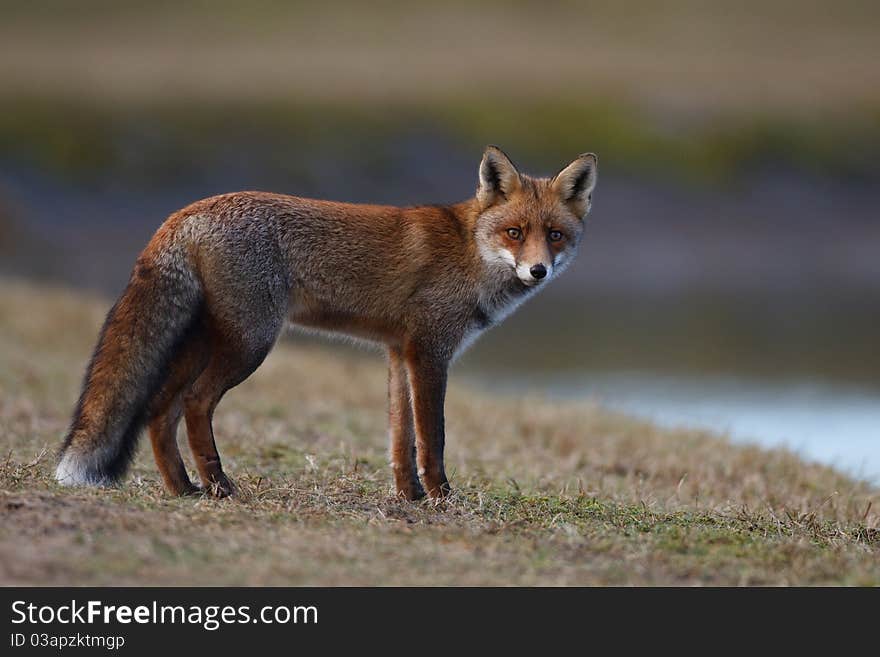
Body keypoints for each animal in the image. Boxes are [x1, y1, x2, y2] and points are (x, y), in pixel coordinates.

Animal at [56, 147, 600, 498]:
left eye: (554, 235)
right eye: (515, 233)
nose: (538, 270)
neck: (470, 252)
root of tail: (186, 211)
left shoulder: (399, 352)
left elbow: (400, 437)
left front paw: (410, 498)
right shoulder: (429, 351)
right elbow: (433, 437)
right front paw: (443, 498)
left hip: (205, 342)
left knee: (157, 409)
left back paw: (182, 488)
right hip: (250, 344)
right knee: (193, 403)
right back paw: (218, 485)